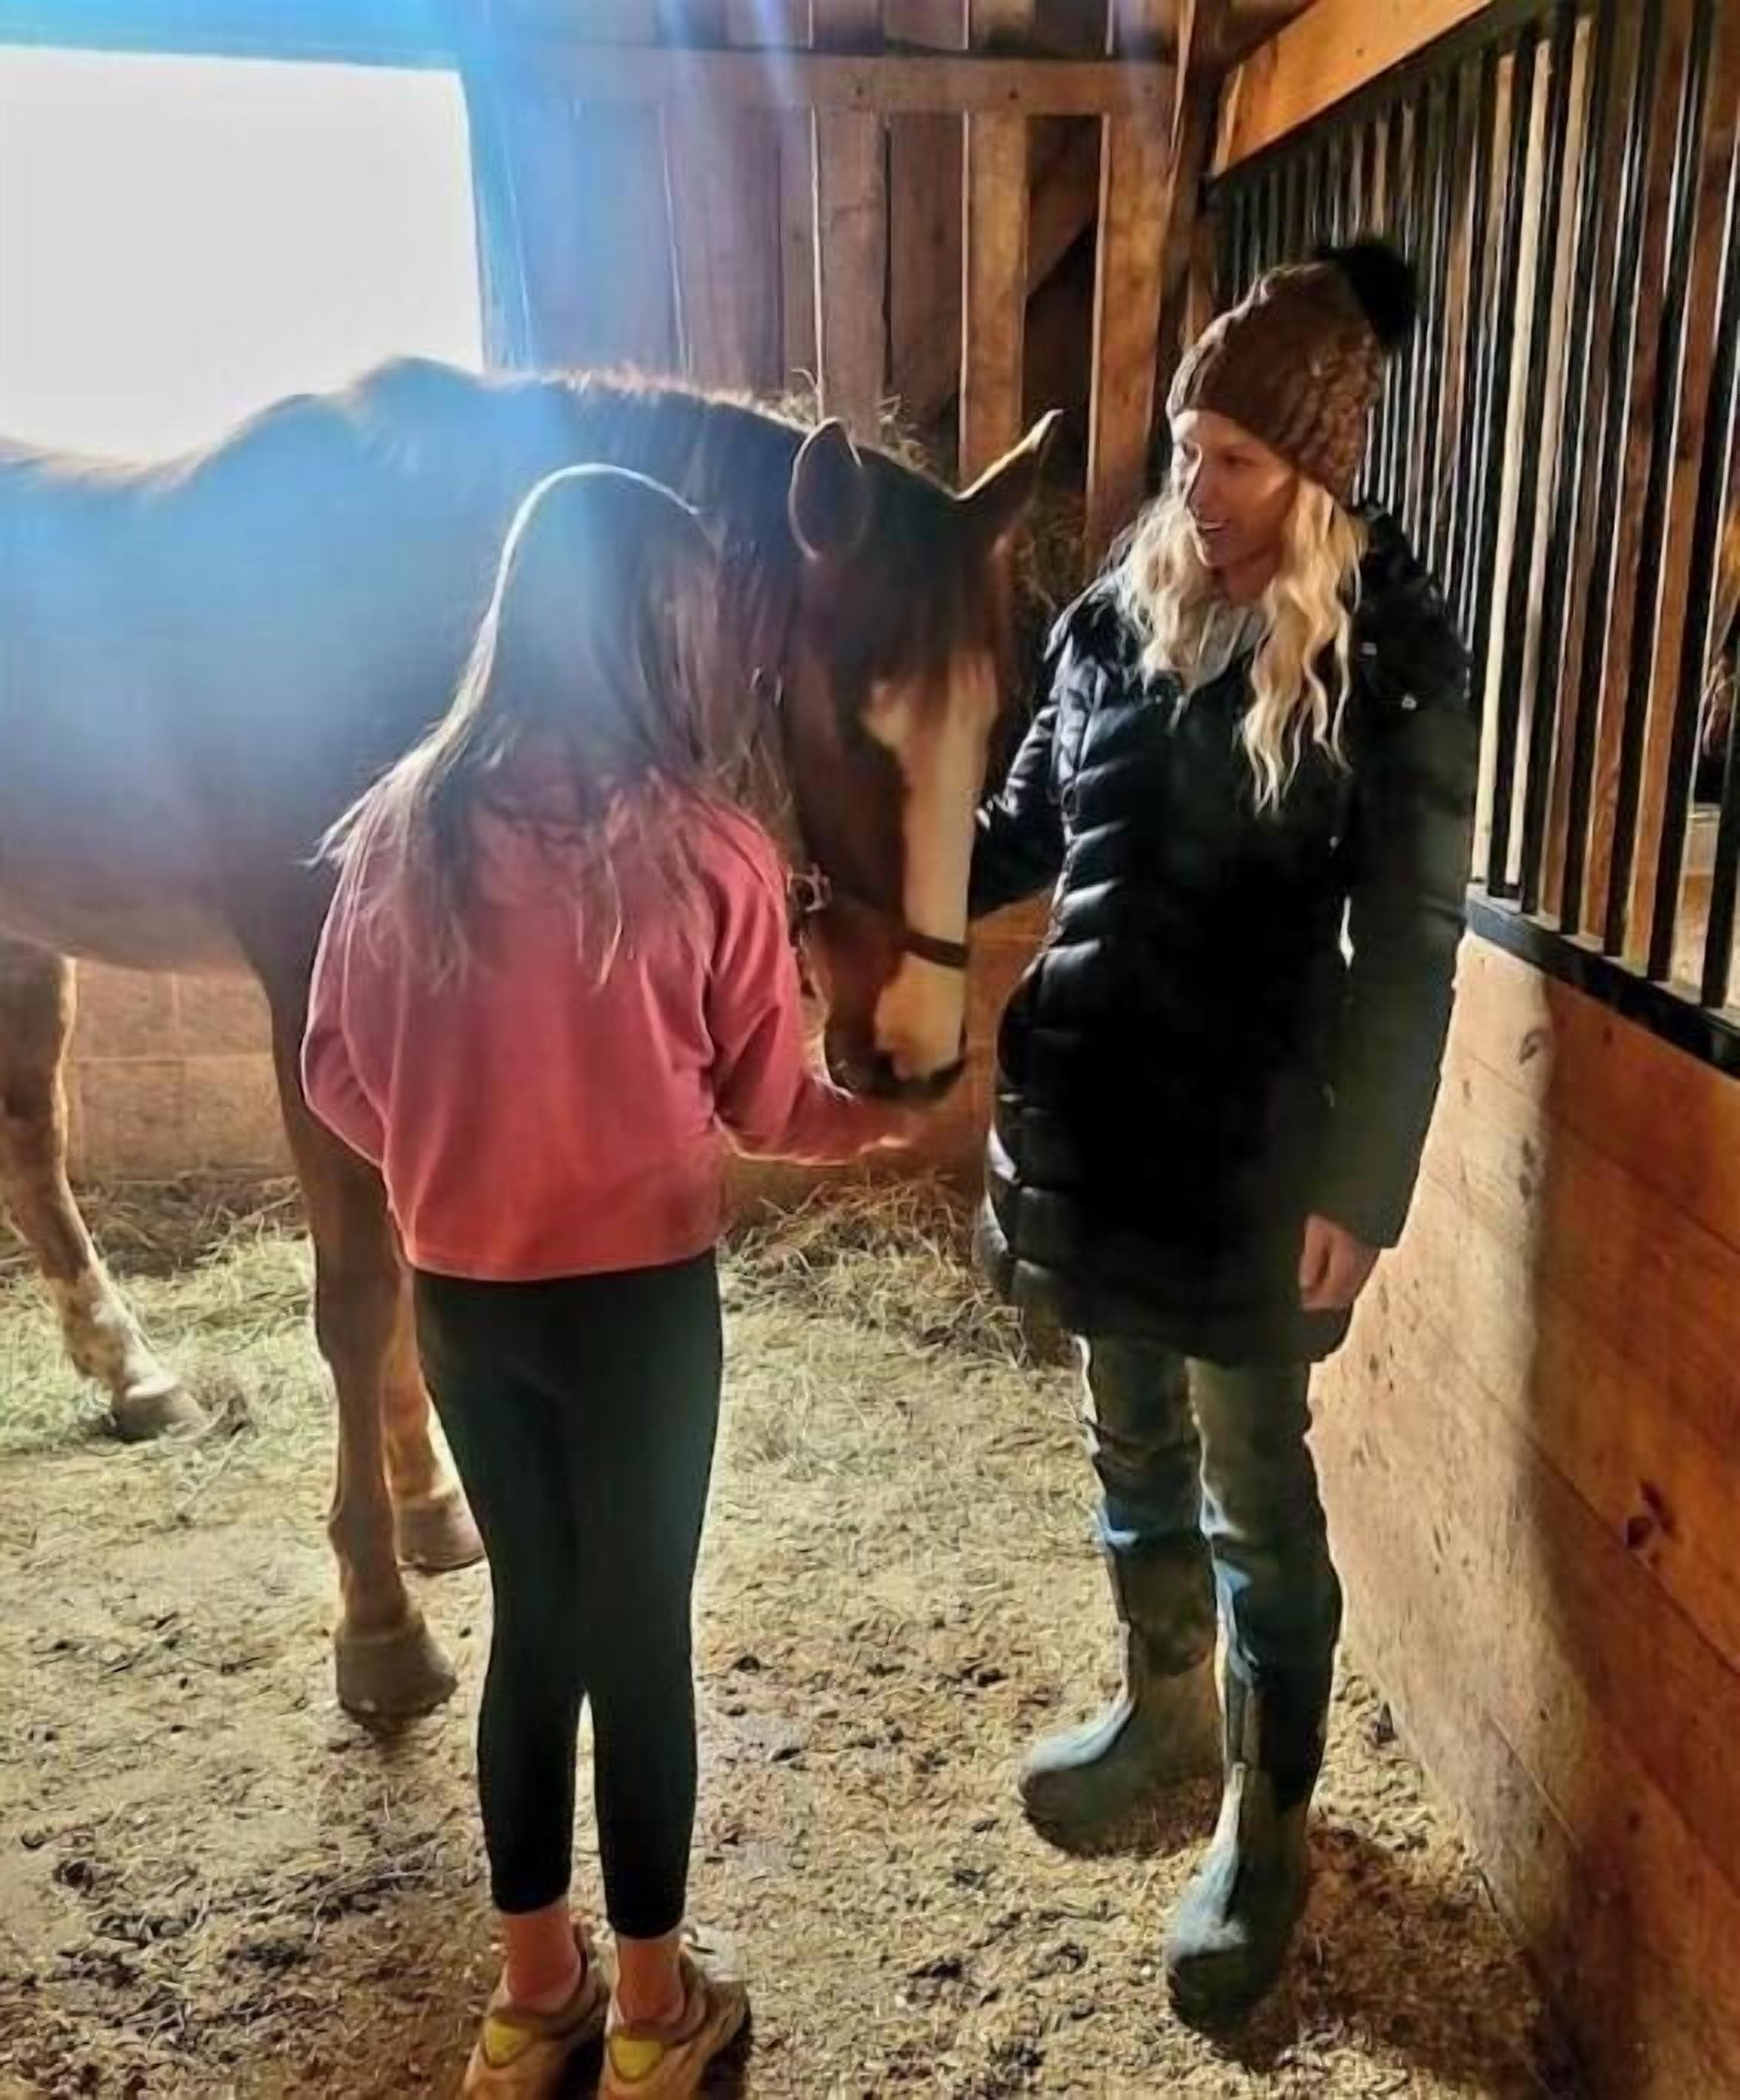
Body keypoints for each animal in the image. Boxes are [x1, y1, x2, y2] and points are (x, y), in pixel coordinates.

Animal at [0, 357, 1057, 1717]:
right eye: (840, 719)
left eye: (991, 724)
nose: (915, 1057)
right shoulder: (309, 992)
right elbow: (358, 1298)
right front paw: (380, 1621)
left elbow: (400, 1274)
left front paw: (431, 1512)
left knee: (32, 1140)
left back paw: (135, 1376)